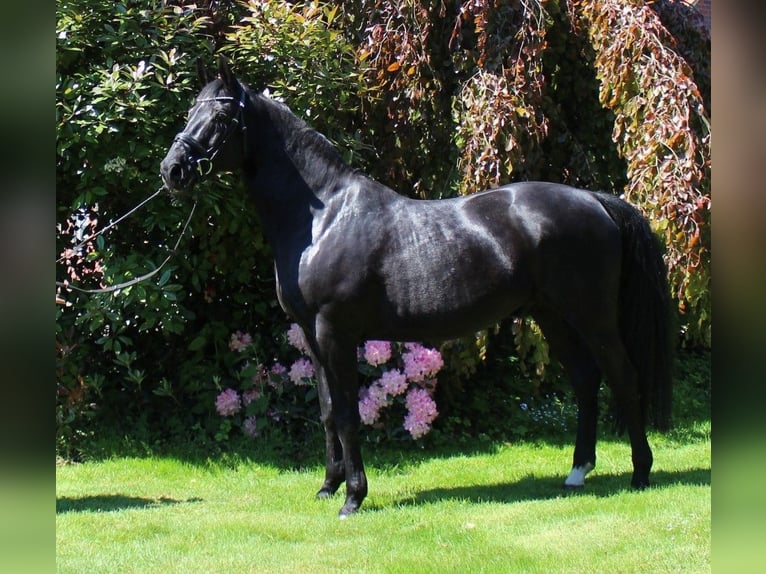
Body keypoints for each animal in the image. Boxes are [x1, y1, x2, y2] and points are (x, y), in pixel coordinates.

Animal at [160, 60, 672, 520]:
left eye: (220, 119)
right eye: (190, 112)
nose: (173, 170)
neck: (323, 217)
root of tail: (596, 201)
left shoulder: (335, 332)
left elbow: (347, 414)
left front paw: (353, 499)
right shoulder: (310, 335)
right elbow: (326, 412)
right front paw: (328, 487)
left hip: (592, 316)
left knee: (623, 377)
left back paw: (640, 473)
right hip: (553, 315)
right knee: (586, 380)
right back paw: (577, 473)